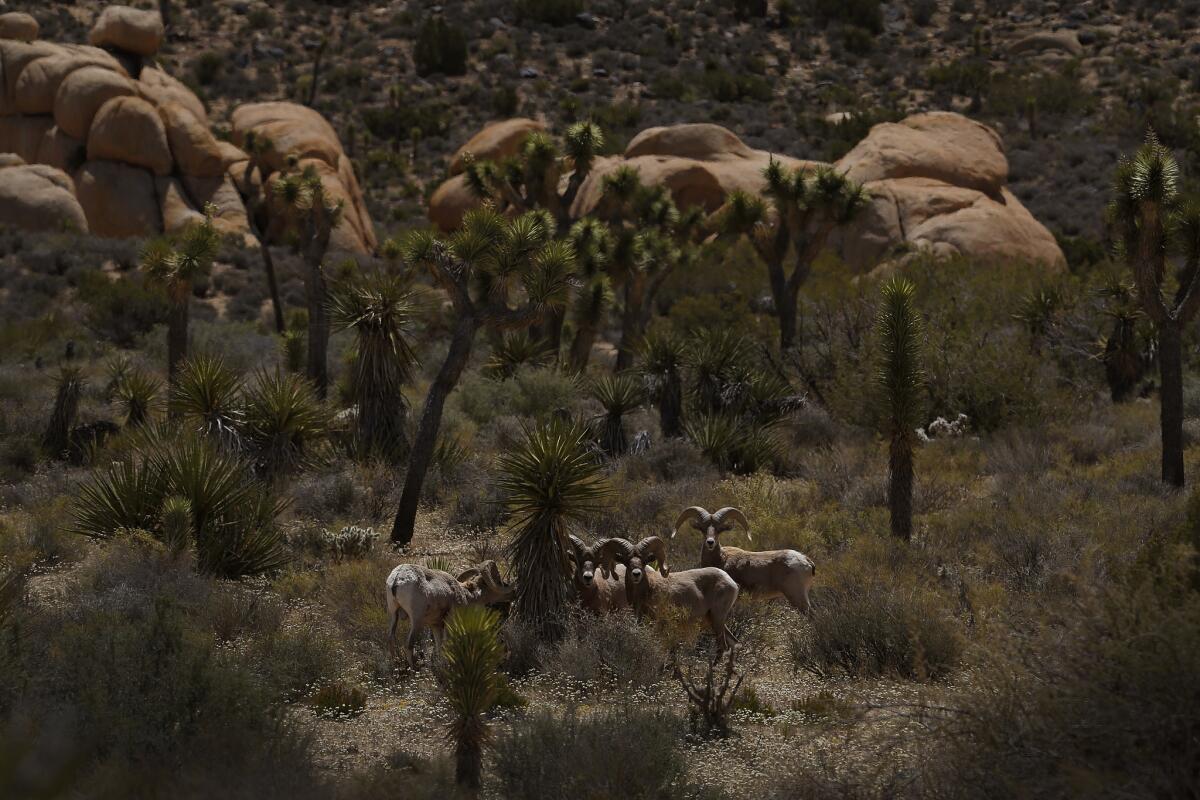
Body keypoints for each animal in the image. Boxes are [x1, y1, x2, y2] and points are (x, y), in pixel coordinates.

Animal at [384, 561, 516, 666]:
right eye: (498, 580)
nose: (513, 593)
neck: (466, 596)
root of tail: (397, 579)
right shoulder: (450, 622)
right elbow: (446, 644)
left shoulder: (435, 625)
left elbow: (439, 646)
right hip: (416, 621)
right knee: (409, 644)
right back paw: (413, 669)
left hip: (393, 615)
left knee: (390, 638)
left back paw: (394, 665)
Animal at [600, 537, 739, 652]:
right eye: (627, 562)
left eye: (644, 562)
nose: (636, 574)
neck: (647, 590)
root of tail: (731, 582)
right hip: (715, 621)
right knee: (734, 643)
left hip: (717, 619)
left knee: (723, 647)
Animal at [676, 506, 816, 614]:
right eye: (702, 529)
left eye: (719, 529)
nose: (710, 542)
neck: (721, 559)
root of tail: (806, 561)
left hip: (797, 597)